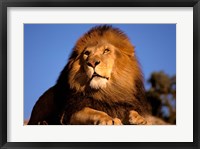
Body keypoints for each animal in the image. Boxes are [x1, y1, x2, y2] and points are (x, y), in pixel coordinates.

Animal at [28, 25, 166, 124]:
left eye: (106, 51)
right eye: (86, 53)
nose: (92, 63)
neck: (108, 92)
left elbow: (131, 111)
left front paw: (139, 119)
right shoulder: (69, 112)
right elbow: (92, 111)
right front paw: (108, 119)